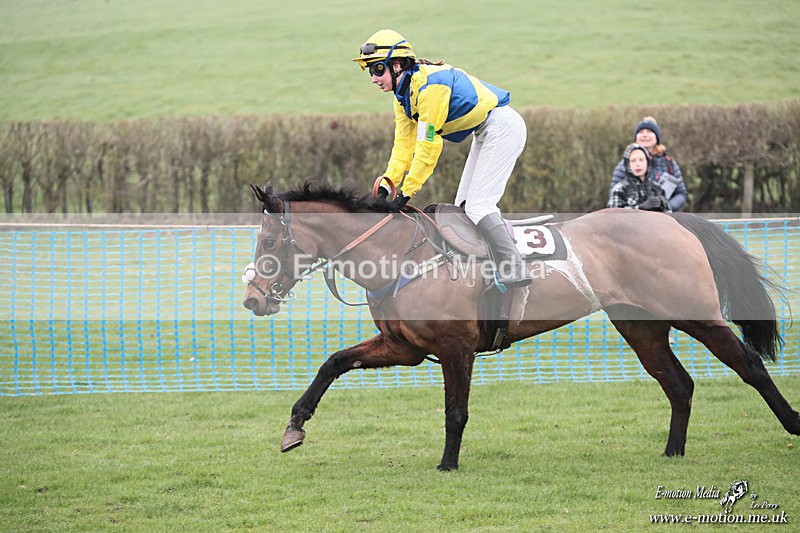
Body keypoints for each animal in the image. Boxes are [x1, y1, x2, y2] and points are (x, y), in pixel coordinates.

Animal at [242, 181, 800, 471]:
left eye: (268, 242)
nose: (251, 300)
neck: (402, 255)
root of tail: (668, 218)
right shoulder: (403, 346)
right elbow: (333, 362)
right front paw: (295, 425)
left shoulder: (455, 347)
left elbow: (456, 412)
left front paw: (447, 464)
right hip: (640, 327)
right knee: (679, 384)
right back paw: (672, 452)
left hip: (696, 313)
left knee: (749, 365)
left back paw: (792, 424)